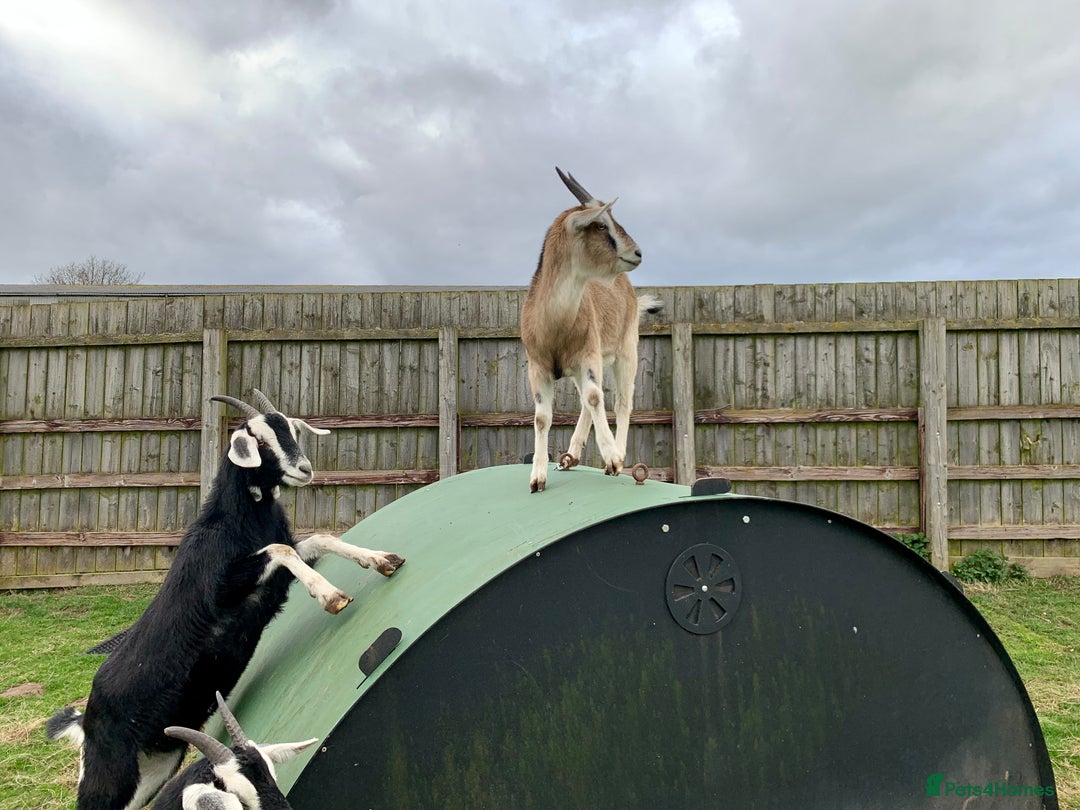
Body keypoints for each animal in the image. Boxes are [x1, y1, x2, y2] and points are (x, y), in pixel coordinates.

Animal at [520, 167, 661, 493]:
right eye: (600, 224)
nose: (637, 253)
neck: (554, 324)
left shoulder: (589, 355)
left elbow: (597, 398)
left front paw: (613, 459)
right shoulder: (539, 367)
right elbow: (542, 418)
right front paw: (537, 478)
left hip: (626, 350)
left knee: (622, 401)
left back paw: (616, 454)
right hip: (582, 367)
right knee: (587, 400)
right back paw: (570, 456)